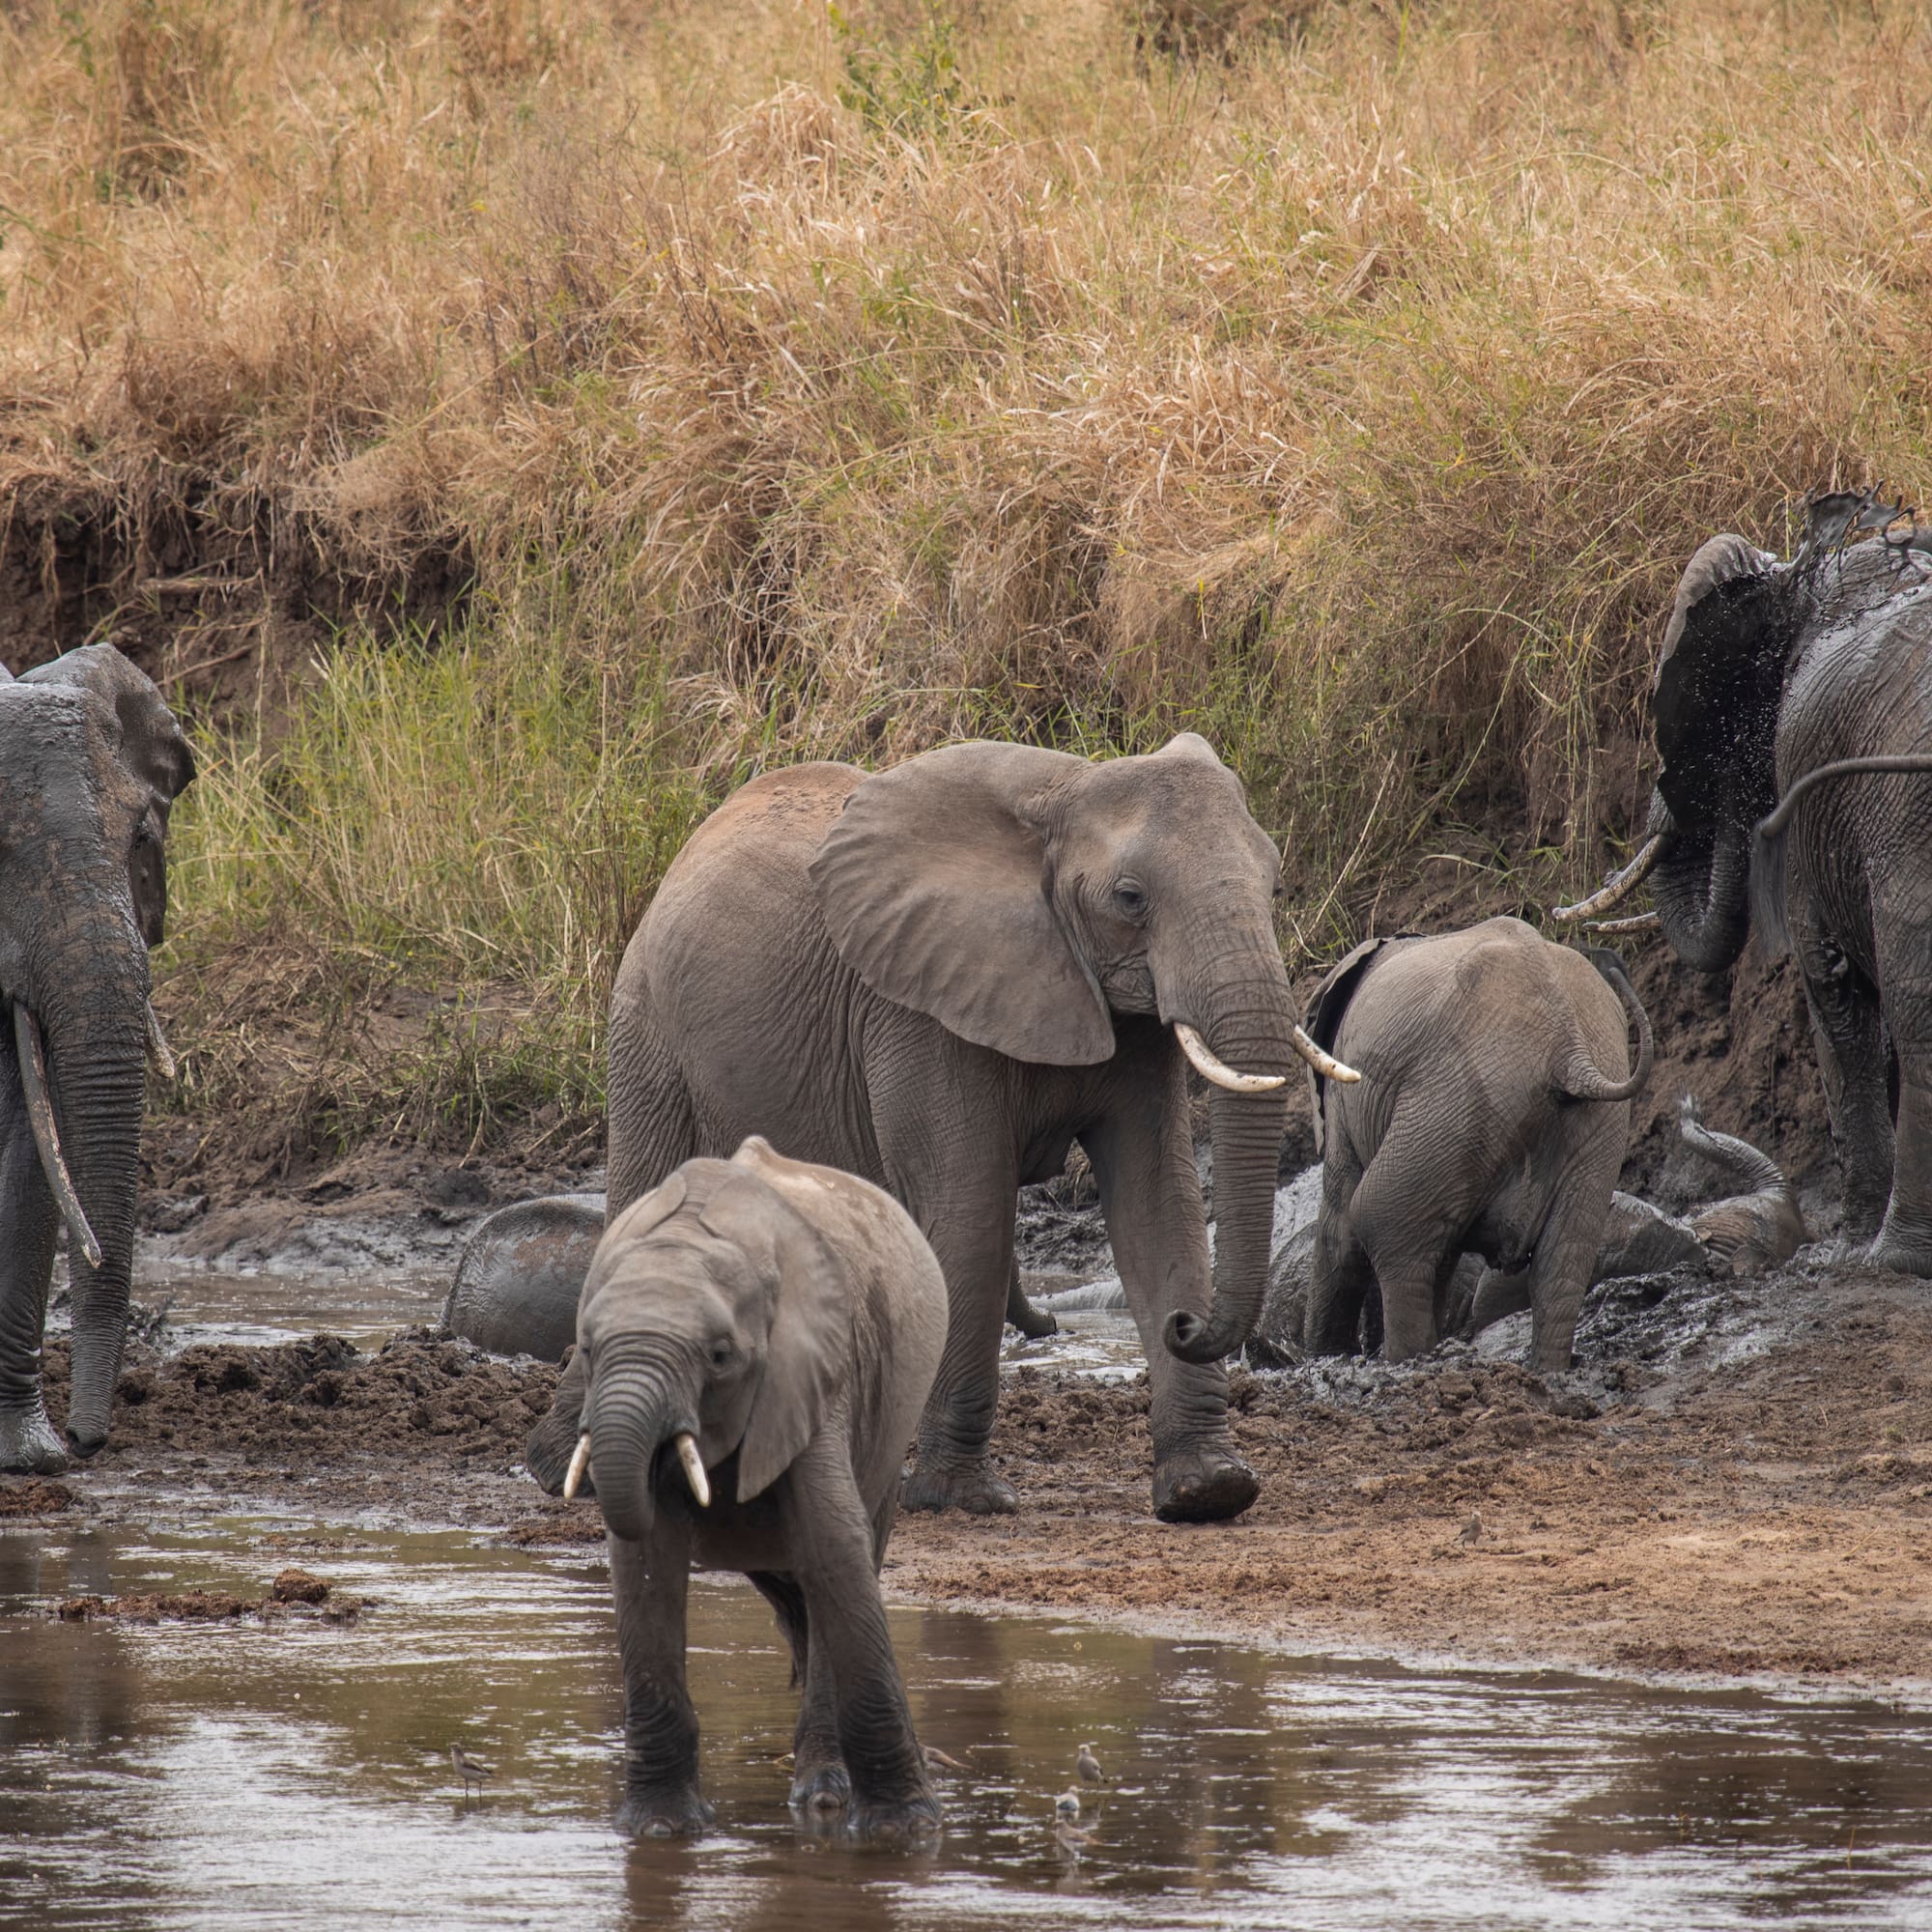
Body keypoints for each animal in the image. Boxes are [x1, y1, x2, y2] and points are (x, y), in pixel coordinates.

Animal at [527, 734, 1351, 1524]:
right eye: (1130, 898)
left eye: (1275, 885)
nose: (1186, 1324)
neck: (1066, 791)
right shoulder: (919, 1010)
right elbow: (971, 1213)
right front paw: (962, 1499)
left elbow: (1158, 1202)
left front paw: (1209, 1491)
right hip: (646, 1030)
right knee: (644, 1201)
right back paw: (573, 1473)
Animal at [563, 1134, 946, 1840]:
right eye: (587, 1348)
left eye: (719, 1356)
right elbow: (646, 1561)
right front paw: (659, 1831)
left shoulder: (816, 1372)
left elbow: (833, 1548)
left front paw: (903, 1834)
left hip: (889, 1425)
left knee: (843, 1558)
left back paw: (822, 1797)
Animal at [1299, 919, 1651, 1373]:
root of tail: (1570, 1050)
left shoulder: (1346, 1094)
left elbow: (1339, 1228)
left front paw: (1324, 1359)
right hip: (1592, 1124)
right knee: (1562, 1265)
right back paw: (1545, 1372)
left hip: (1459, 1097)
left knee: (1379, 1222)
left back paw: (1406, 1363)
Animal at [1555, 490, 1932, 1269]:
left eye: (1690, 714)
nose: (1603, 956)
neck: (1797, 579)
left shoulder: (1810, 778)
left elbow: (1831, 988)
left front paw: (1845, 1249)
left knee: (1914, 1011)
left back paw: (1893, 1256)